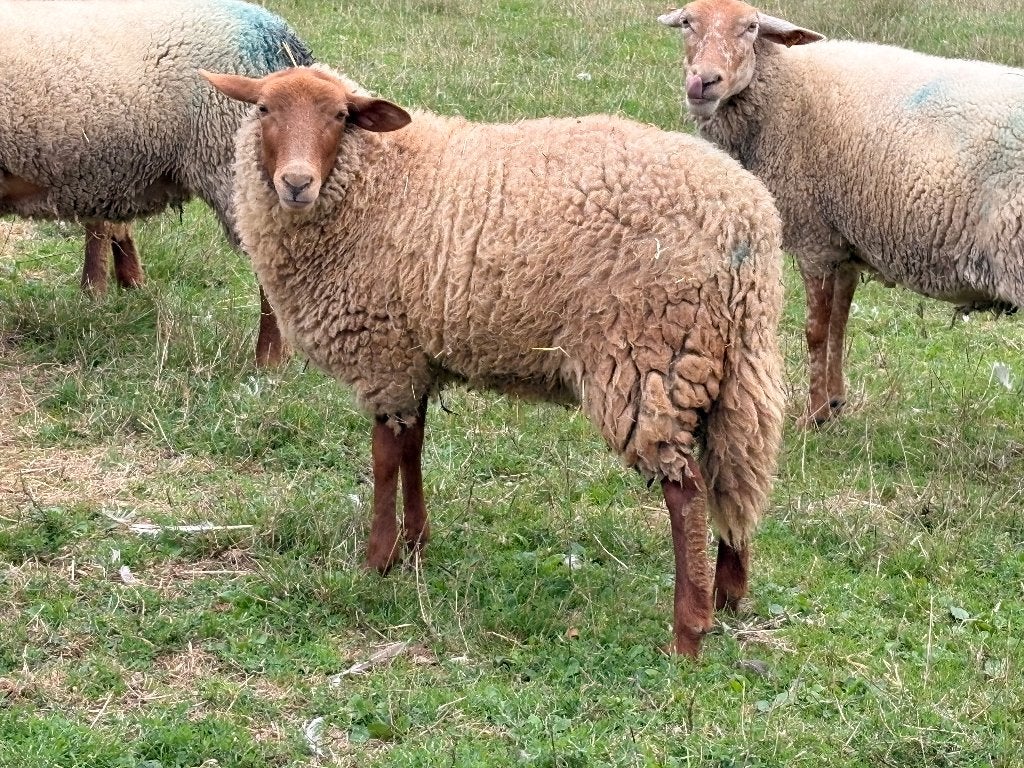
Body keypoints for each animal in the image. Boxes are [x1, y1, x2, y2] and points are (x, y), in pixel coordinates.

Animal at [202, 65, 786, 657]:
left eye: (341, 117)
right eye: (264, 110)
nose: (296, 184)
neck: (381, 179)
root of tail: (747, 221)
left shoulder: (382, 354)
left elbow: (384, 459)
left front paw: (377, 560)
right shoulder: (412, 357)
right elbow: (413, 447)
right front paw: (416, 545)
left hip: (648, 358)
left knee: (686, 491)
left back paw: (688, 631)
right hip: (732, 363)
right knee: (735, 473)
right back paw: (728, 593)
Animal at [658, 0, 1024, 424]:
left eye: (751, 28)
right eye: (688, 22)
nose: (703, 82)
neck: (784, 88)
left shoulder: (814, 239)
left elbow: (816, 330)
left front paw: (813, 415)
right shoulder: (845, 243)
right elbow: (839, 325)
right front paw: (834, 404)